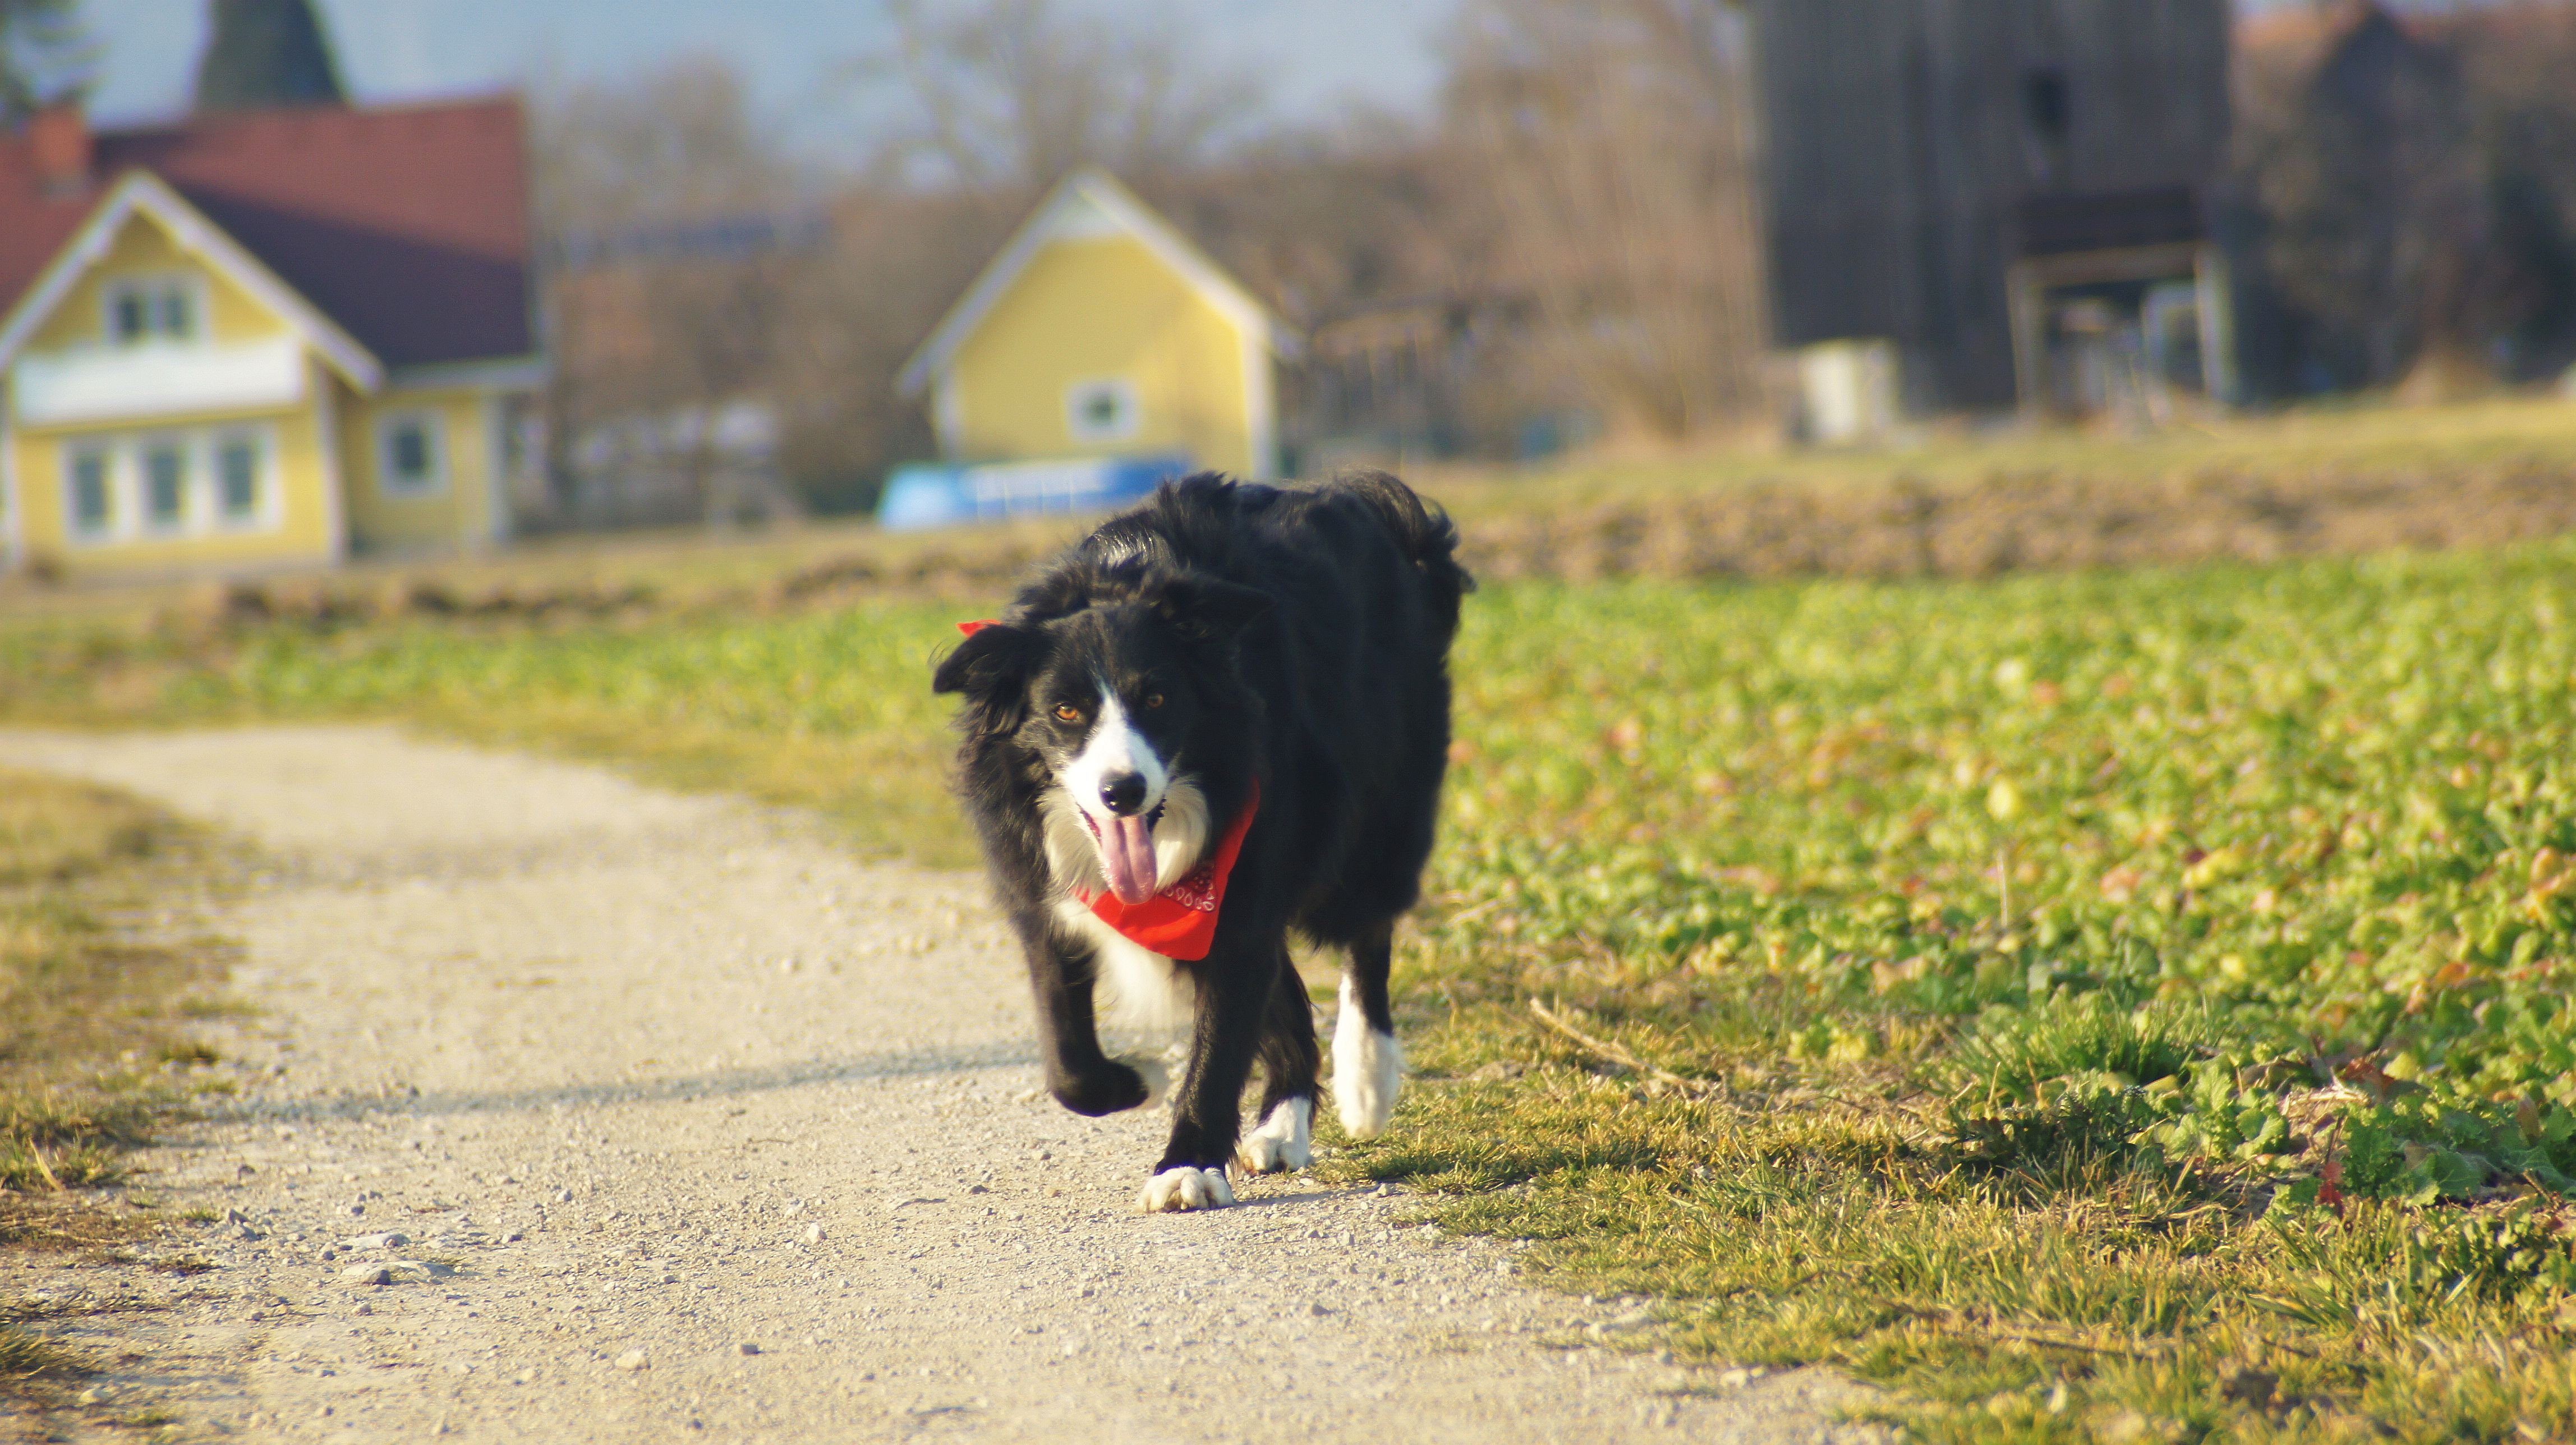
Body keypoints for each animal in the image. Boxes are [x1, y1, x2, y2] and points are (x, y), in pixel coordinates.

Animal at [937, 473, 1473, 1205]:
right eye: (1065, 710)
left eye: (1158, 699)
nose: (1122, 791)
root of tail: (1390, 519)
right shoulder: (1042, 890)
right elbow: (1067, 1059)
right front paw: (1140, 1078)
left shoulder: (1248, 852)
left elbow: (1222, 1033)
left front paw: (1185, 1166)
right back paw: (1279, 1129)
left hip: (1375, 800)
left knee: (1365, 925)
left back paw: (1365, 1082)